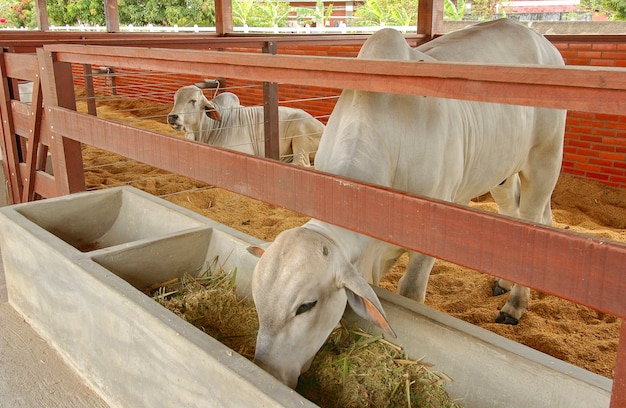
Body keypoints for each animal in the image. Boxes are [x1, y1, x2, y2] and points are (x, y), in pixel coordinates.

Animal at [247, 18, 564, 388]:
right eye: (256, 297)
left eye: (306, 306)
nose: (267, 369)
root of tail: (538, 37)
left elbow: (411, 292)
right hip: (500, 171)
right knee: (513, 217)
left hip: (545, 159)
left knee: (532, 220)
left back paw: (515, 304)